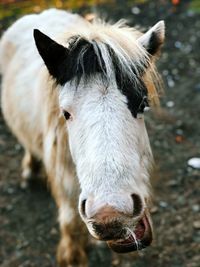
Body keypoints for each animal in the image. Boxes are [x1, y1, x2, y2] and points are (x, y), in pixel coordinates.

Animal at [0, 8, 165, 267]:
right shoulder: (65, 184)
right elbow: (70, 223)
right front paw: (72, 256)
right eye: (65, 113)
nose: (111, 214)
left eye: (142, 103)